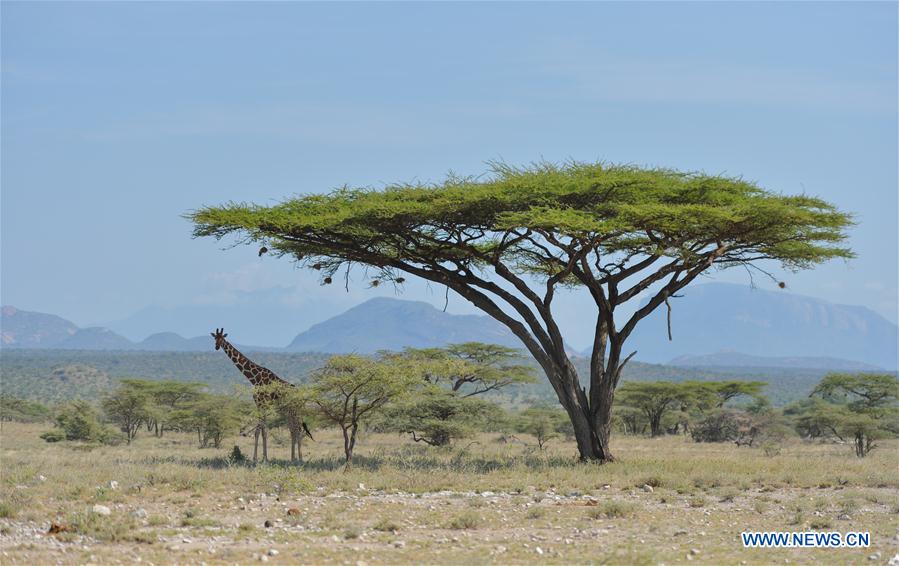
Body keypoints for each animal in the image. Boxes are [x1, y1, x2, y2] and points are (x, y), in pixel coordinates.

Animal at [211, 330, 312, 464]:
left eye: (222, 338)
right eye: (214, 339)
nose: (217, 347)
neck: (254, 378)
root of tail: (301, 397)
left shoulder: (262, 403)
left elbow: (258, 431)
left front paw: (256, 458)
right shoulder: (260, 405)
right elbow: (263, 430)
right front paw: (264, 457)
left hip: (293, 410)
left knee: (298, 429)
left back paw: (299, 459)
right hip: (289, 412)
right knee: (294, 430)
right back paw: (293, 458)